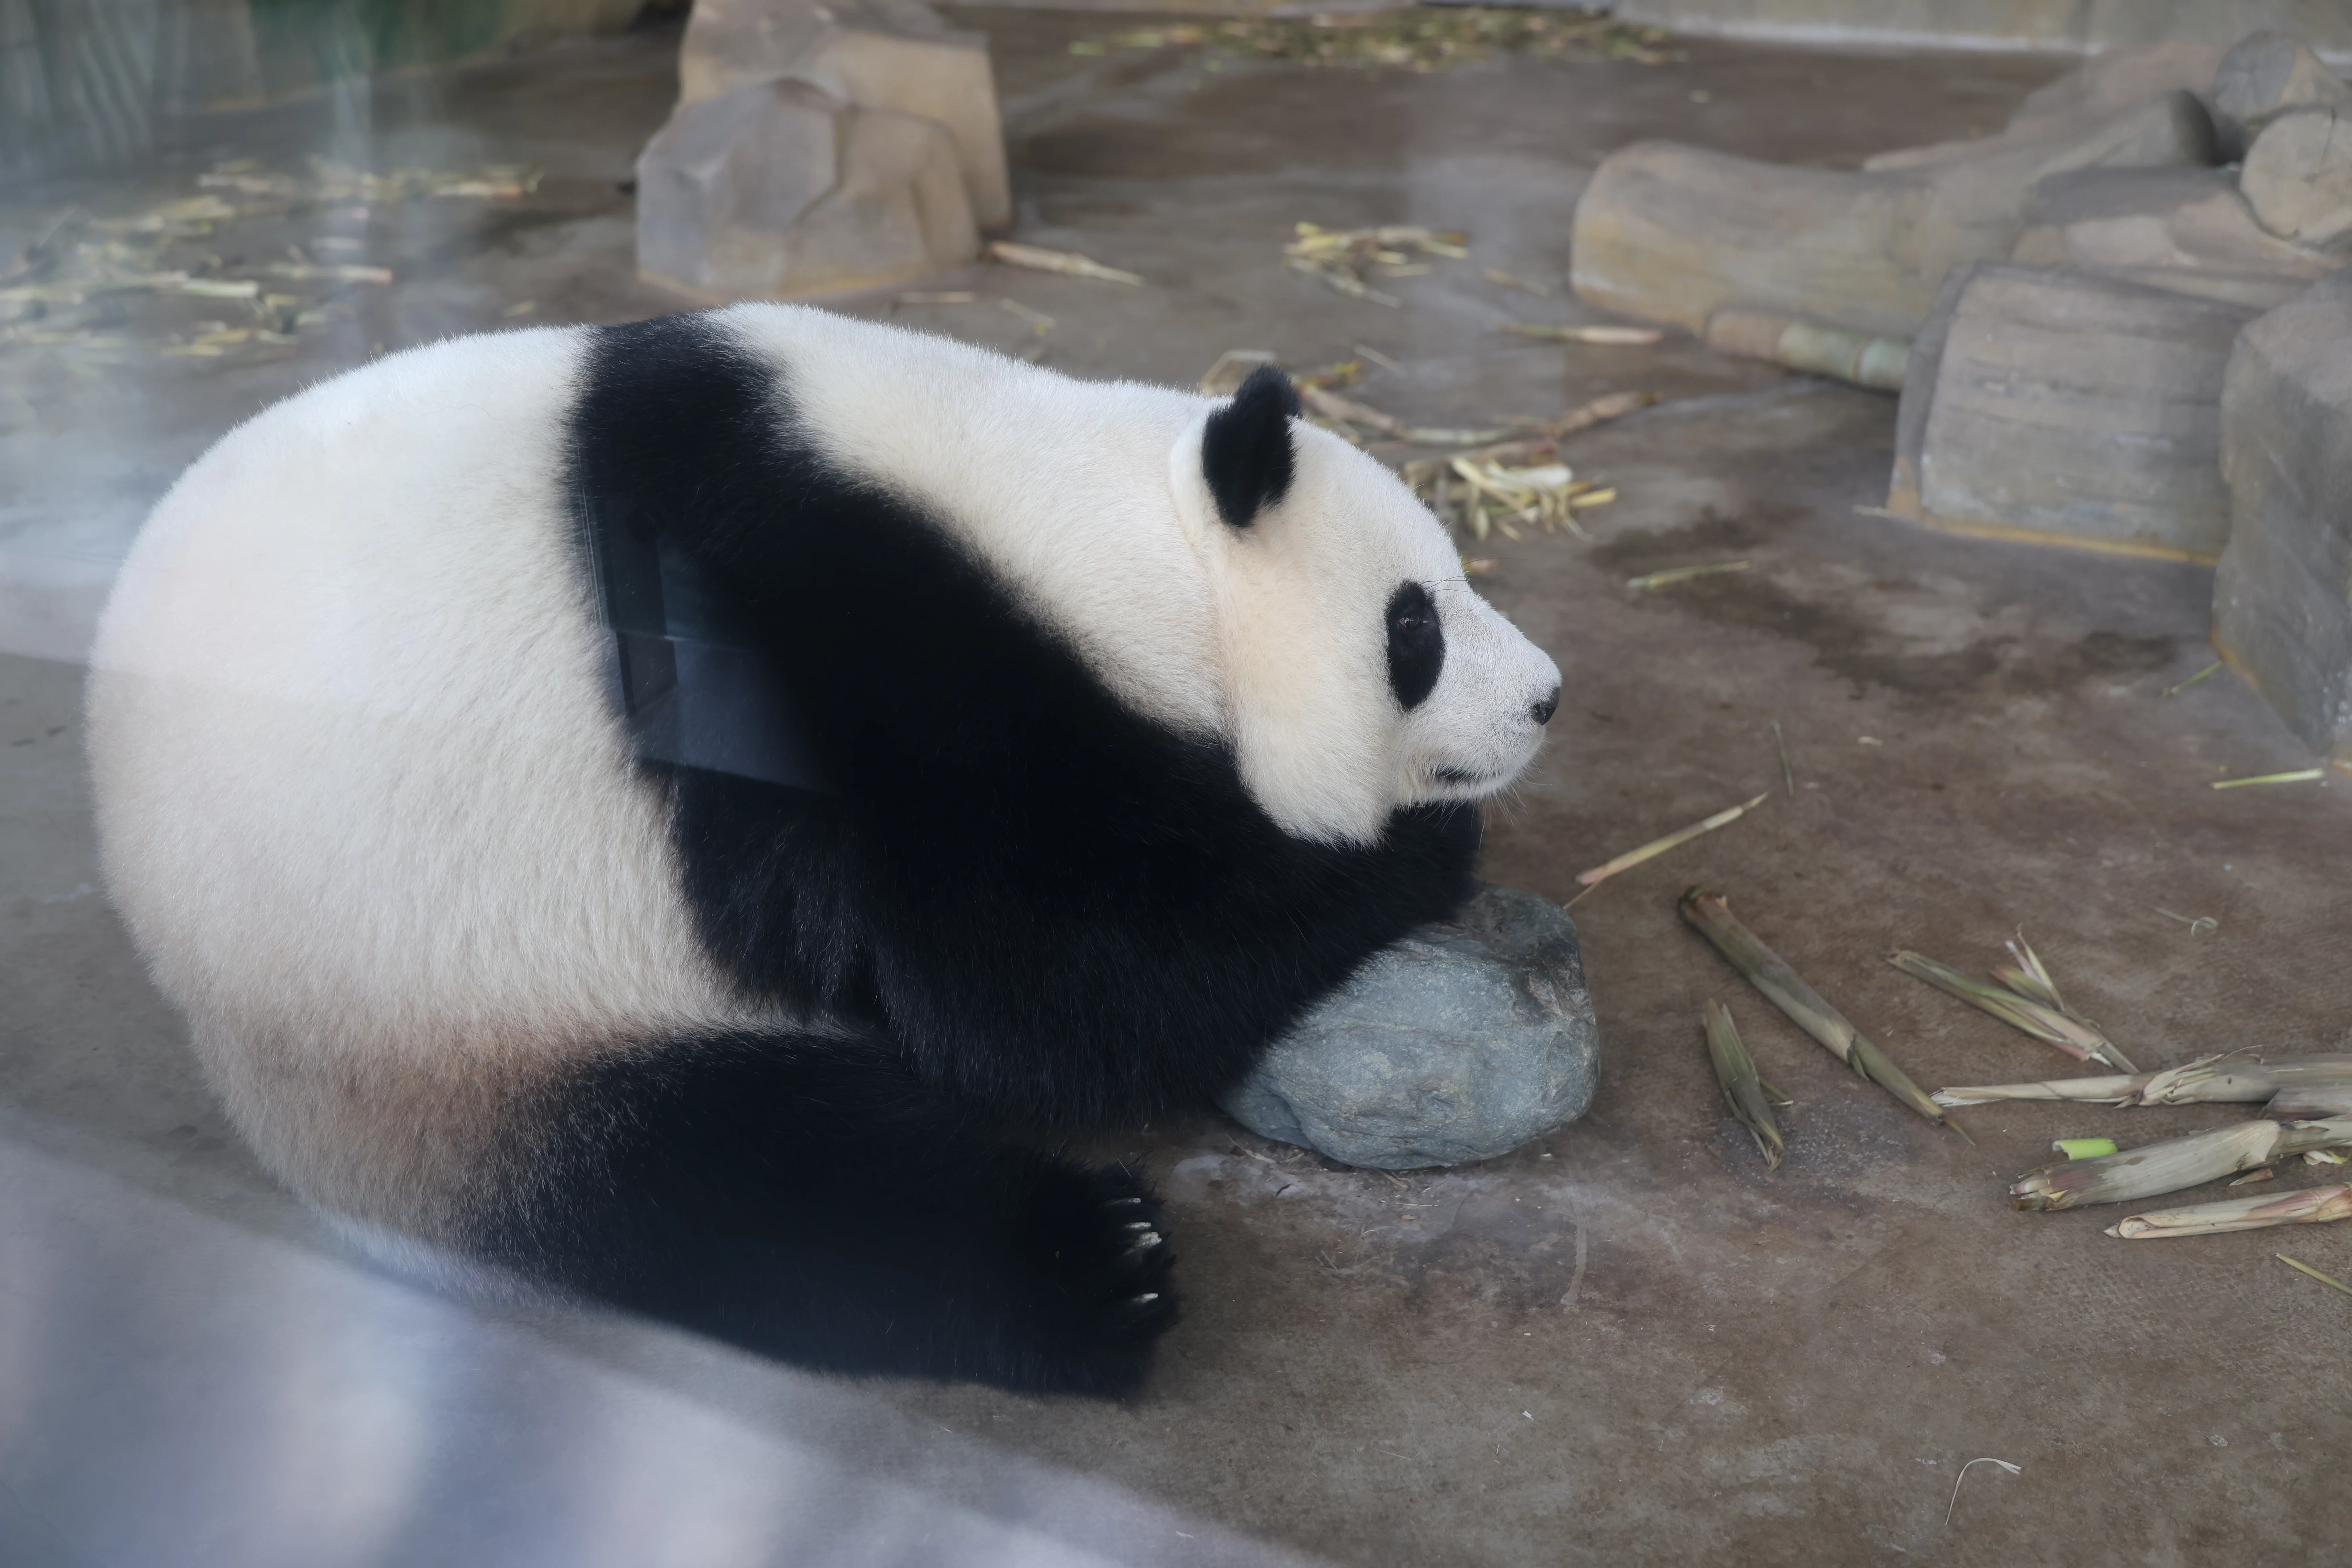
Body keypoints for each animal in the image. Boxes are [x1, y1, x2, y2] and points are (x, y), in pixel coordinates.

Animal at [86, 305, 1562, 1396]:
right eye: (1416, 625)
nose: (1547, 697)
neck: (1088, 528)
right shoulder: (851, 638)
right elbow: (1041, 966)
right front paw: (1409, 847)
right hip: (448, 1005)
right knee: (754, 1189)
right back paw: (1096, 1268)